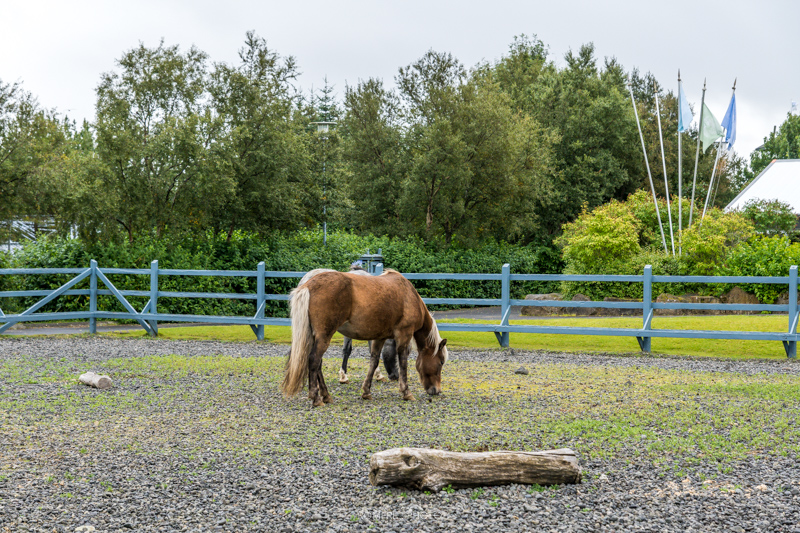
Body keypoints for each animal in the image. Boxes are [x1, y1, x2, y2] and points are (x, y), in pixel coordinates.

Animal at [283, 269, 448, 407]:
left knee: (318, 364)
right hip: (324, 336)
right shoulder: (404, 334)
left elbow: (374, 361)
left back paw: (326, 395)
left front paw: (367, 391)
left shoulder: (380, 337)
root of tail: (308, 284)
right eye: (441, 362)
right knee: (314, 360)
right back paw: (316, 398)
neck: (409, 295)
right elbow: (403, 362)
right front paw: (406, 392)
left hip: (314, 337)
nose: (437, 390)